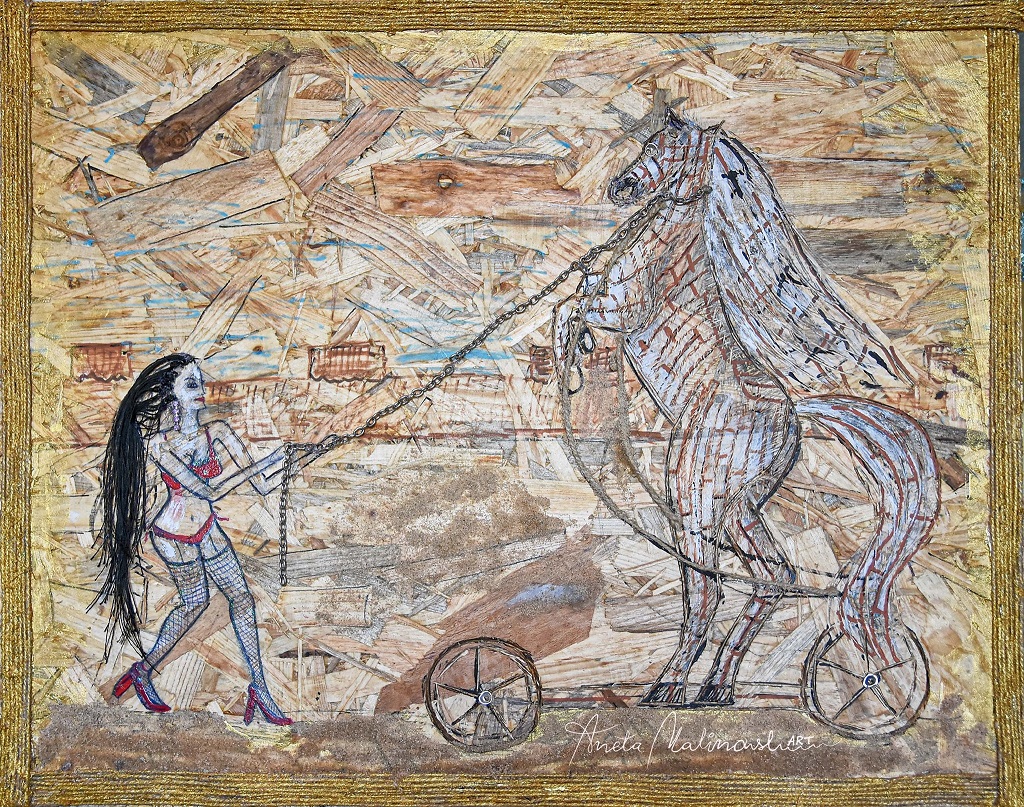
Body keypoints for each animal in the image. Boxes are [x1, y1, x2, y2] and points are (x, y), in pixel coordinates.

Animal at [554, 111, 940, 707]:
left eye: (672, 147)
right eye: (648, 144)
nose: (622, 187)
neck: (670, 241)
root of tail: (795, 419)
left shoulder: (618, 309)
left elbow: (570, 308)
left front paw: (569, 348)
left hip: (696, 497)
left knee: (708, 587)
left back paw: (670, 688)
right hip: (740, 507)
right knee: (773, 575)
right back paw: (715, 686)